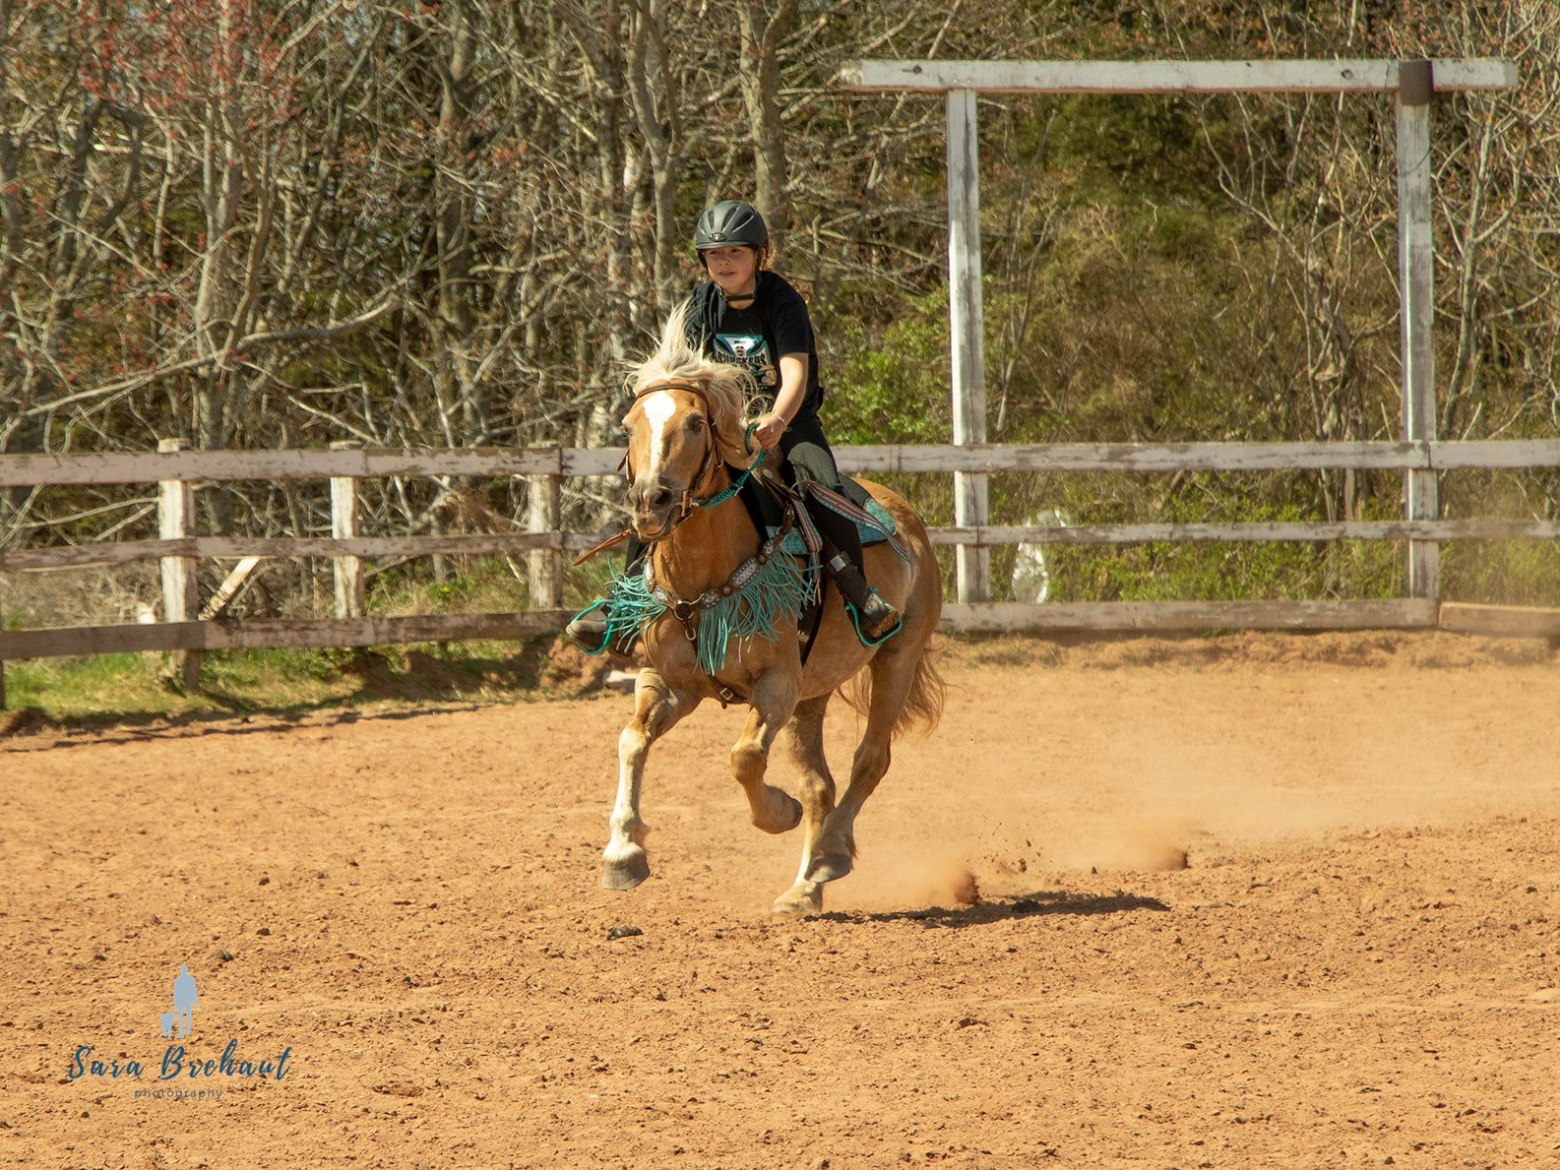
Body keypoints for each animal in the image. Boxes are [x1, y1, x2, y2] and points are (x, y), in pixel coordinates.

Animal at [597, 305, 945, 914]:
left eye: (695, 423)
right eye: (628, 426)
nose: (649, 502)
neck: (704, 576)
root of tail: (906, 519)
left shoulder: (776, 683)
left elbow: (744, 758)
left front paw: (777, 814)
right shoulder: (669, 681)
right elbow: (631, 741)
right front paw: (624, 852)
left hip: (896, 658)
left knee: (870, 760)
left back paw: (829, 854)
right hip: (814, 692)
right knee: (822, 784)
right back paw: (804, 887)